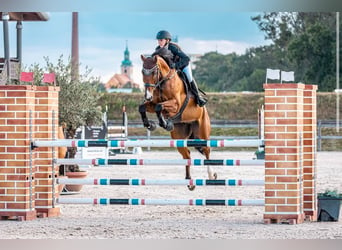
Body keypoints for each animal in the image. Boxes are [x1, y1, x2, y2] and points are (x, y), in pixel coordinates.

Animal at [138, 54, 216, 190]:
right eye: (143, 71)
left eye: (153, 72)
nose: (147, 96)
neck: (163, 81)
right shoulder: (152, 103)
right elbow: (144, 107)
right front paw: (150, 125)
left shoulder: (175, 104)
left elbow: (159, 107)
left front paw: (164, 123)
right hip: (179, 137)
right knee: (187, 155)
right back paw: (189, 181)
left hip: (202, 132)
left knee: (207, 150)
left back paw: (211, 175)